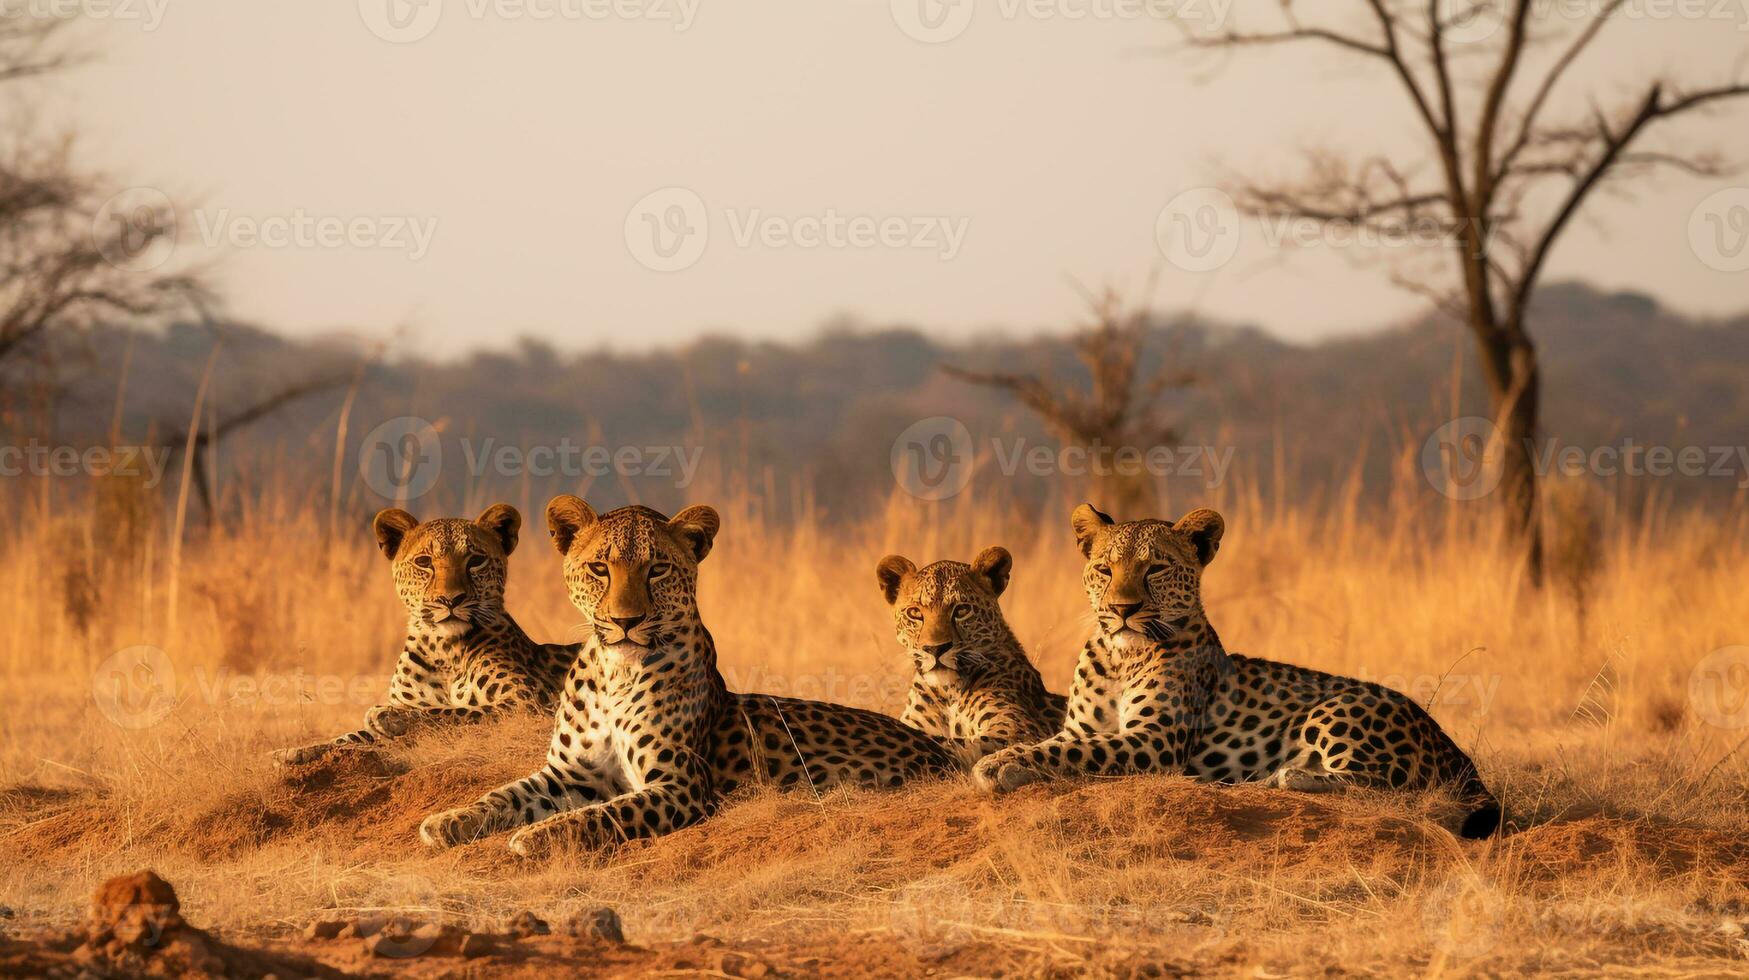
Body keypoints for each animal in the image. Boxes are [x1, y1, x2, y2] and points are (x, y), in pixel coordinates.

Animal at [269, 504, 577, 766]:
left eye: (476, 560)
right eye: (424, 562)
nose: (450, 599)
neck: (443, 650)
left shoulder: (527, 702)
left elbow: (455, 712)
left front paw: (390, 717)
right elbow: (350, 736)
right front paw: (295, 751)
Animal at [418, 500, 958, 854]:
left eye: (656, 570)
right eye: (599, 569)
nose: (626, 621)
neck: (615, 675)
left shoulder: (679, 786)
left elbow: (602, 815)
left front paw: (536, 836)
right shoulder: (569, 774)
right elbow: (504, 794)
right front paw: (447, 821)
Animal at [874, 542, 1063, 766]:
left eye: (962, 610)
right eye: (914, 613)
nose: (935, 649)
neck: (947, 694)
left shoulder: (1019, 728)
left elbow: (959, 743)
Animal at [972, 500, 1504, 840]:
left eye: (1155, 569)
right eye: (1104, 569)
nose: (1123, 609)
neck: (1121, 658)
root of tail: (1456, 751)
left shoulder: (1155, 740)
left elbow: (1079, 753)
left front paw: (1000, 764)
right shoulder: (1079, 727)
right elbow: (1061, 743)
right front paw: (1006, 757)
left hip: (1342, 706)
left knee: (1391, 792)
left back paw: (1287, 778)